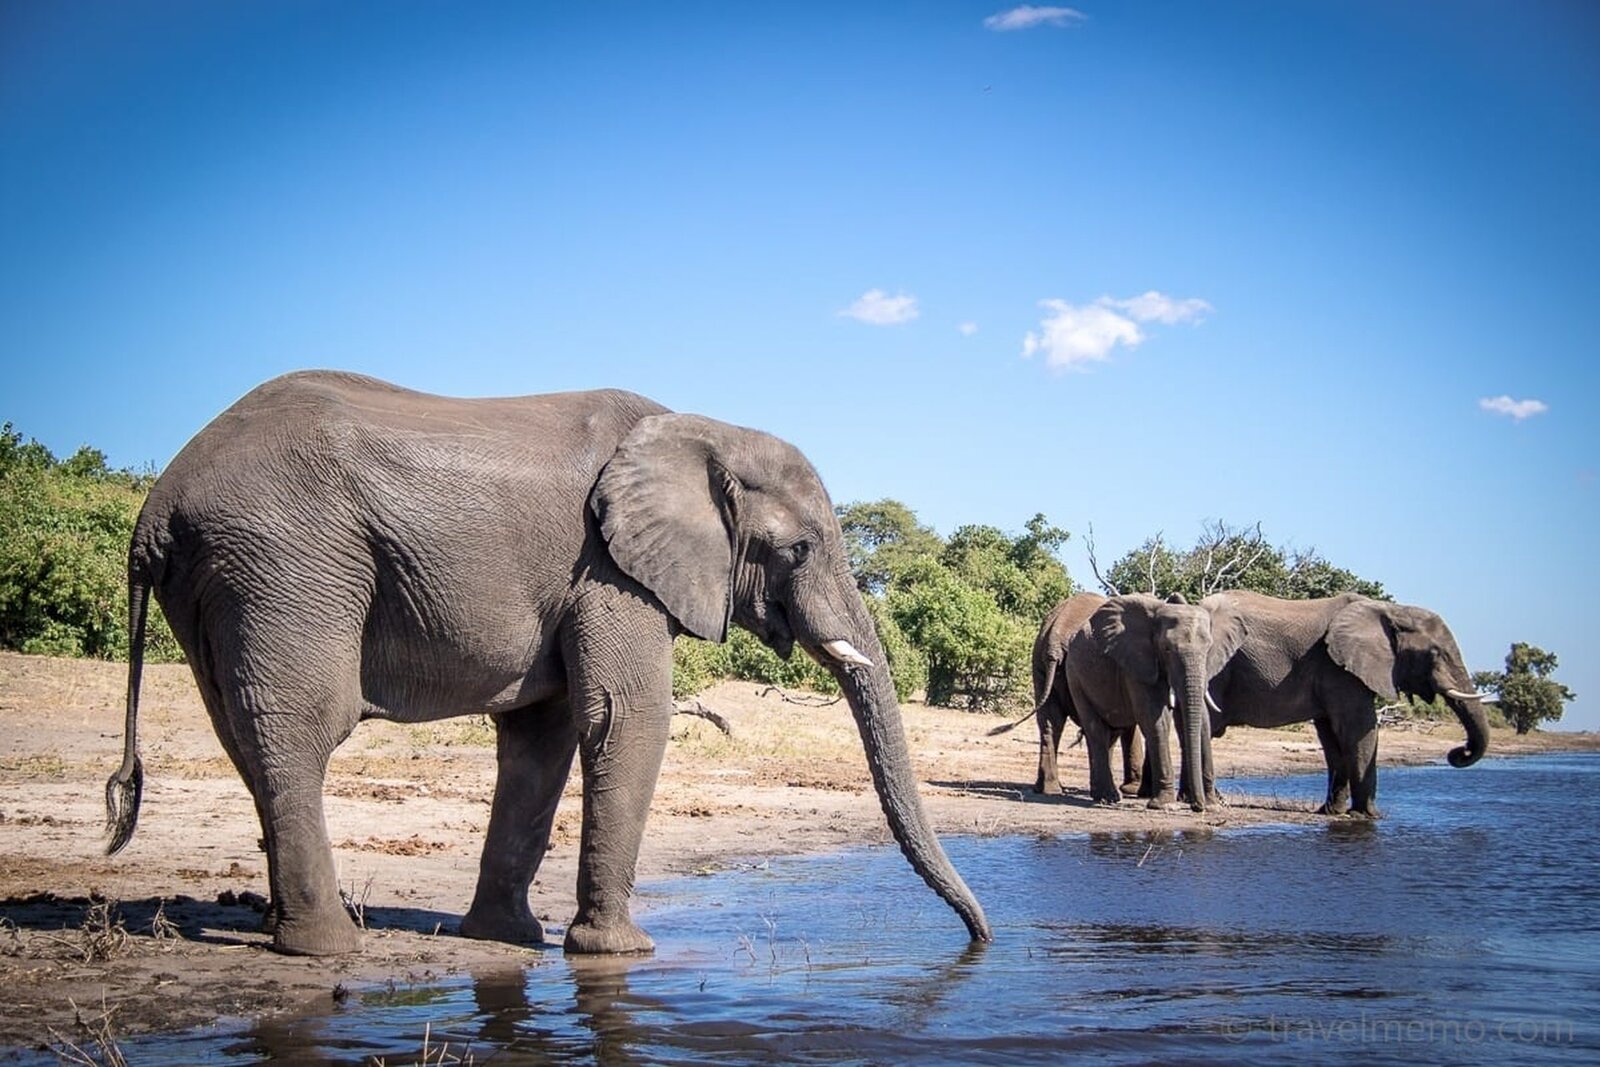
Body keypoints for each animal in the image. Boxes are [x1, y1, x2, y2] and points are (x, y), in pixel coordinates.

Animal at [102, 370, 990, 956]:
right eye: (798, 549)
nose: (982, 940)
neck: (703, 430)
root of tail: (154, 508)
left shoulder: (583, 581)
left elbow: (545, 733)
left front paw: (506, 939)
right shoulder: (607, 567)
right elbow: (628, 716)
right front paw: (620, 954)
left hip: (224, 581)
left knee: (246, 735)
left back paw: (284, 928)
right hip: (285, 562)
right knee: (299, 729)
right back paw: (327, 947)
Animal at [1064, 593, 1248, 810]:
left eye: (1208, 648)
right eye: (1166, 649)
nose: (1197, 806)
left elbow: (1203, 721)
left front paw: (1212, 806)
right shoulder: (1137, 663)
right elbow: (1155, 719)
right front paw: (1164, 805)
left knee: (1111, 732)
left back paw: (1102, 796)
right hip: (1075, 675)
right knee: (1096, 729)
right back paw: (1108, 798)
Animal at [1196, 590, 1491, 817]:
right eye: (1435, 653)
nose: (1459, 752)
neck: (1391, 610)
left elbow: (1332, 738)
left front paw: (1332, 812)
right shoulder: (1340, 670)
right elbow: (1358, 729)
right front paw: (1367, 816)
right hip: (1219, 672)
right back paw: (1214, 802)